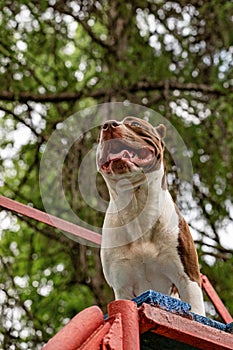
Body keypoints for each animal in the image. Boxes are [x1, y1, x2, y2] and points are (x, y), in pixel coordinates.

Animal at [95, 116, 205, 316]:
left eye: (135, 124)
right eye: (99, 136)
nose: (108, 124)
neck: (137, 205)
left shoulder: (188, 279)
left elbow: (197, 315)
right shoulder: (122, 285)